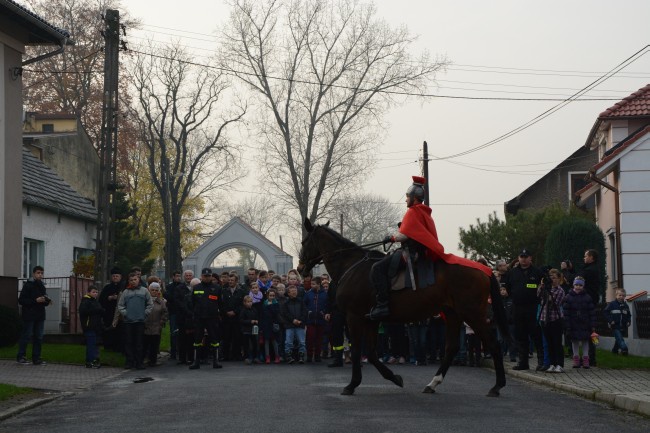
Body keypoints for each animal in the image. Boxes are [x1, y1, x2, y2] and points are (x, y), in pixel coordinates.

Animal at [298, 218, 506, 396]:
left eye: (304, 242)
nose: (300, 269)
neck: (351, 265)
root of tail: (485, 270)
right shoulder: (370, 320)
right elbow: (371, 353)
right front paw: (395, 378)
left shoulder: (354, 317)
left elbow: (358, 350)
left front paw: (352, 385)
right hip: (453, 313)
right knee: (451, 347)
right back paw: (433, 384)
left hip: (472, 313)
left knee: (494, 344)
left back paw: (497, 386)